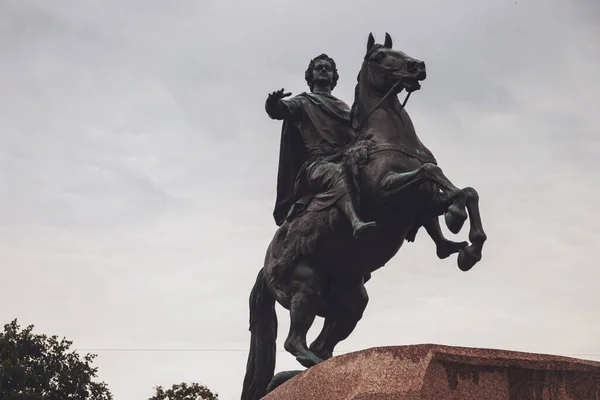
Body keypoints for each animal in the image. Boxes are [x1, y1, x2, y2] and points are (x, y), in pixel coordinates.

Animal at [240, 32, 488, 400]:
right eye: (379, 57)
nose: (418, 66)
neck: (389, 137)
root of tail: (265, 267)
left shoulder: (421, 203)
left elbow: (463, 190)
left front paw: (468, 245)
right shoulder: (386, 193)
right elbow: (431, 171)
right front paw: (457, 222)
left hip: (351, 301)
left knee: (322, 343)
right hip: (305, 285)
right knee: (295, 341)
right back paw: (310, 368)